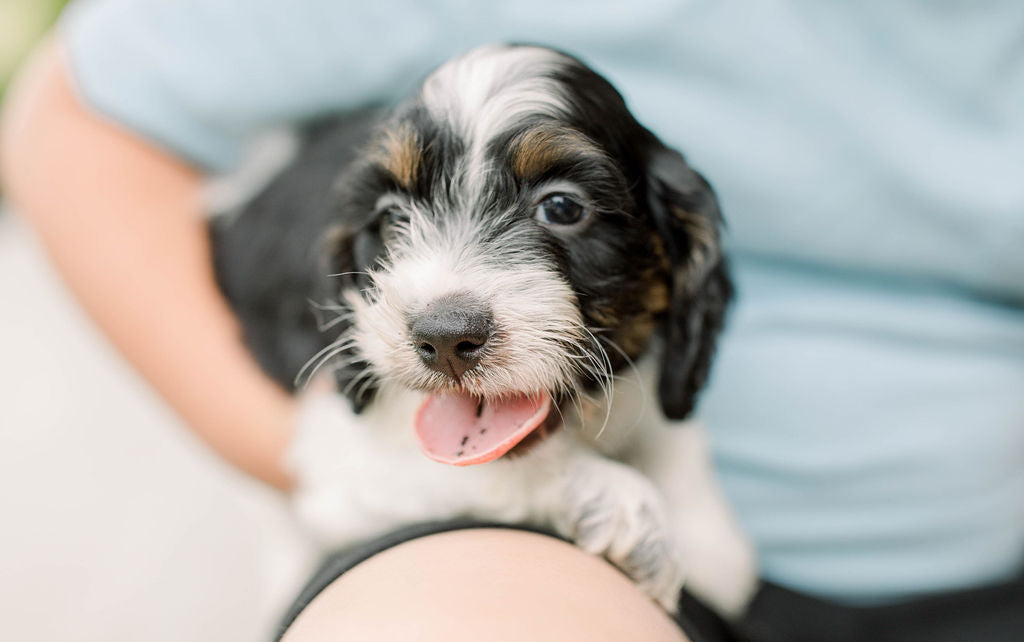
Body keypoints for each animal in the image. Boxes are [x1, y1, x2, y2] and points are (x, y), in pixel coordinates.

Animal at [216, 42, 757, 614]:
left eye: (562, 207)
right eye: (391, 217)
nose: (445, 338)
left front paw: (706, 533)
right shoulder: (339, 454)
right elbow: (496, 469)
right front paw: (624, 507)